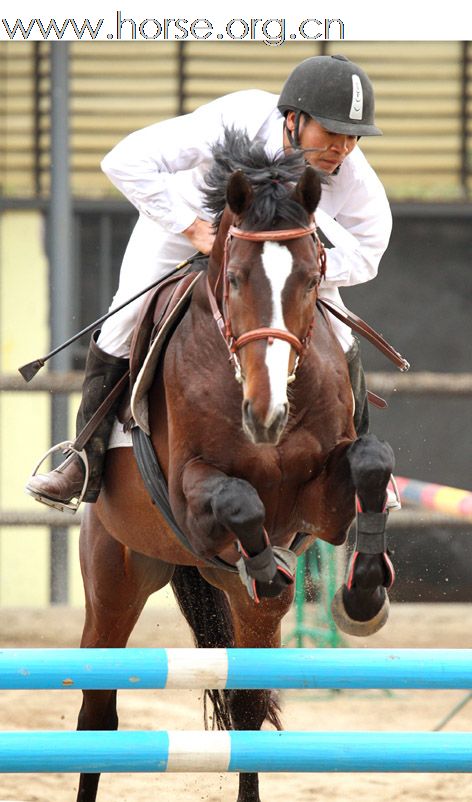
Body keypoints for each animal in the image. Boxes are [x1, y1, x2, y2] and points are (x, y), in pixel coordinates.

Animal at [76, 130, 394, 800]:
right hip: (115, 576)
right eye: (238, 277)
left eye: (312, 278)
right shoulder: (191, 500)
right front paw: (266, 566)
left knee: (246, 710)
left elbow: (371, 464)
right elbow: (238, 499)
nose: (266, 414)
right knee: (97, 712)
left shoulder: (323, 503)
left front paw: (362, 596)